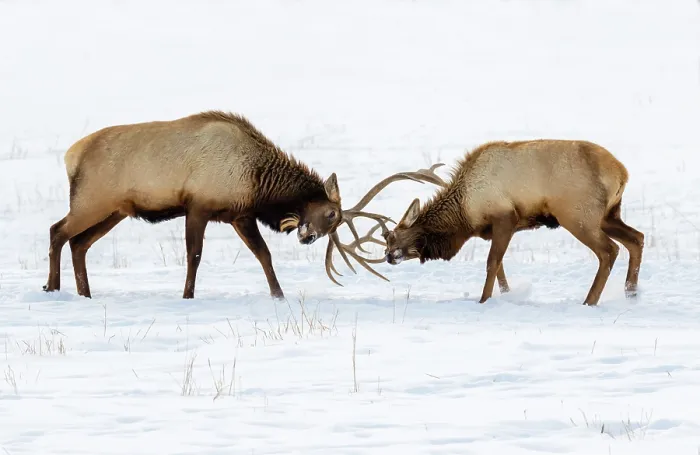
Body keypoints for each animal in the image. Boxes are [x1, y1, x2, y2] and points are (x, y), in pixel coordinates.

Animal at [43, 110, 444, 300]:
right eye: (330, 213)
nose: (307, 237)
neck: (257, 182)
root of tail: (71, 156)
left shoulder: (238, 215)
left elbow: (263, 255)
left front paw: (279, 295)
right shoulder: (199, 206)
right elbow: (194, 255)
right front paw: (187, 295)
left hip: (115, 211)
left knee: (79, 242)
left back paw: (84, 292)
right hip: (93, 200)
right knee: (57, 230)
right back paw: (52, 287)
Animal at [380, 139, 645, 306]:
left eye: (393, 237)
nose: (389, 256)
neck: (466, 213)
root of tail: (622, 173)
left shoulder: (505, 217)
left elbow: (492, 263)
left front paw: (483, 300)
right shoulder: (497, 228)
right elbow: (500, 268)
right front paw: (507, 295)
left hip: (578, 216)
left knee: (609, 250)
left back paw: (590, 300)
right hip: (609, 215)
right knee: (637, 238)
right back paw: (631, 294)